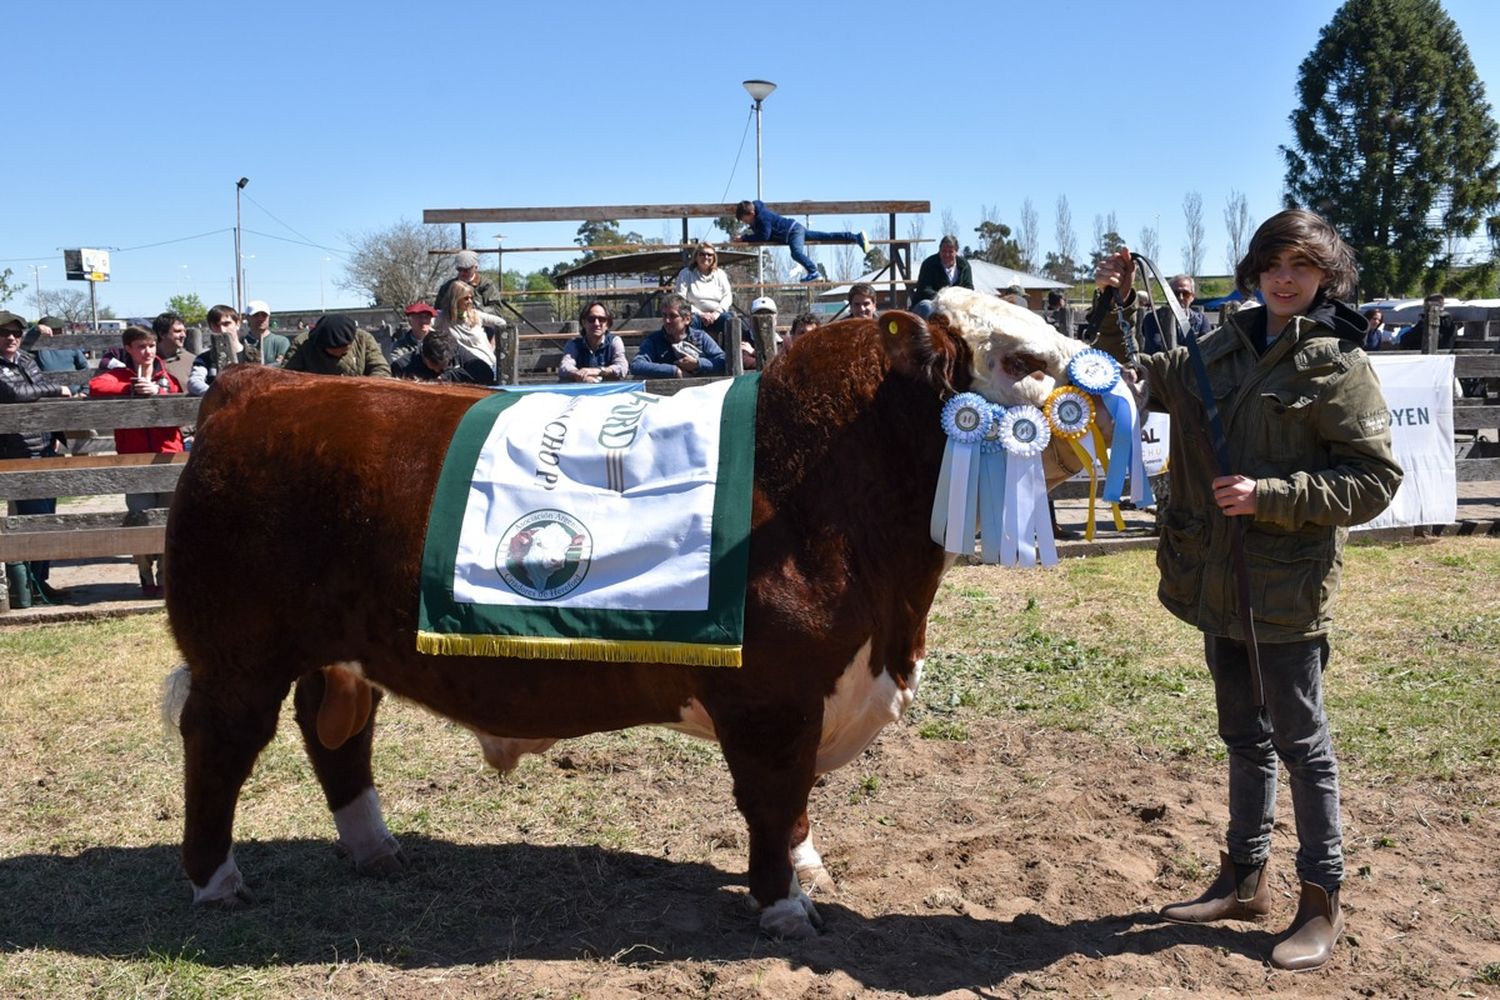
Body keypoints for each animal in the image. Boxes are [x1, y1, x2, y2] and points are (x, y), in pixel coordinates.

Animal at [167, 289, 1092, 941]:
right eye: (1020, 358)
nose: (1109, 390)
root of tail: (258, 382)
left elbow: (796, 808)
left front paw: (808, 868)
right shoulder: (770, 701)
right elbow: (772, 798)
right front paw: (784, 906)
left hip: (337, 651)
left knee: (337, 735)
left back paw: (374, 849)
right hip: (236, 653)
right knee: (220, 744)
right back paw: (215, 882)